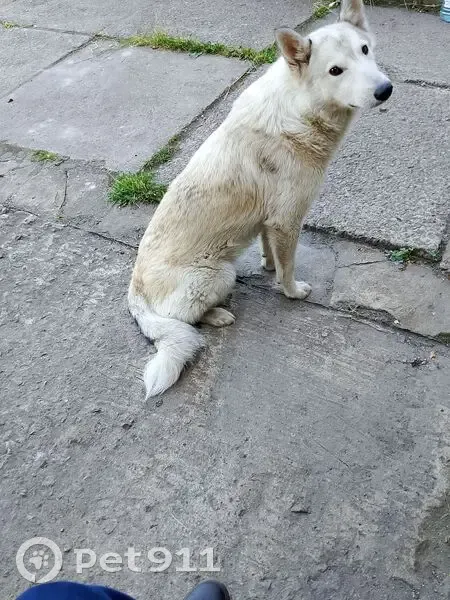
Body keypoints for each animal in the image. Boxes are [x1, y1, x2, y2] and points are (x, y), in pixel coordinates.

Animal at [128, 0, 393, 398]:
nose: (386, 90)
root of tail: (135, 290)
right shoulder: (288, 220)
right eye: (335, 70)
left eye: (365, 50)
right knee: (183, 320)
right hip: (219, 274)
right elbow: (288, 268)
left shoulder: (271, 221)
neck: (300, 109)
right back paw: (218, 315)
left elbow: (272, 253)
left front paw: (268, 266)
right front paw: (292, 292)